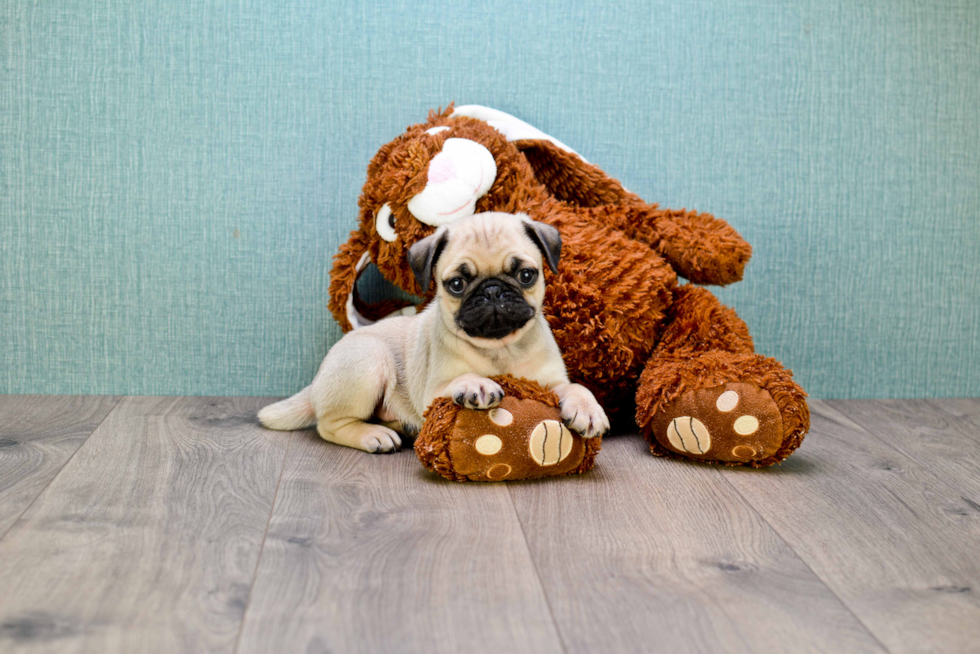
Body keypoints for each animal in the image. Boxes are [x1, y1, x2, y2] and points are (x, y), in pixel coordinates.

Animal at [258, 213, 612, 454]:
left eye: (526, 275)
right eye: (456, 284)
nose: (493, 290)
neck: (499, 348)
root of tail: (318, 380)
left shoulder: (551, 382)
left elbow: (576, 387)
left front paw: (588, 408)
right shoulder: (433, 392)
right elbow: (462, 378)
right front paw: (476, 383)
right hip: (368, 360)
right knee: (328, 425)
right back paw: (374, 436)